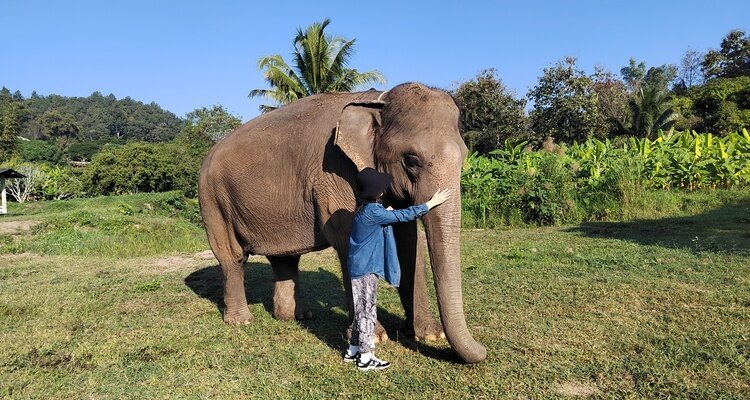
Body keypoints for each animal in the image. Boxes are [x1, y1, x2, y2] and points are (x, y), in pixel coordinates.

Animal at [198, 82, 487, 363]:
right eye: (411, 160)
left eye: (464, 157)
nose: (484, 350)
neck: (377, 101)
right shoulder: (335, 172)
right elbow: (350, 238)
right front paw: (376, 337)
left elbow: (408, 244)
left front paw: (430, 335)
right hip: (212, 199)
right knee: (232, 257)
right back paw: (241, 321)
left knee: (285, 259)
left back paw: (297, 317)